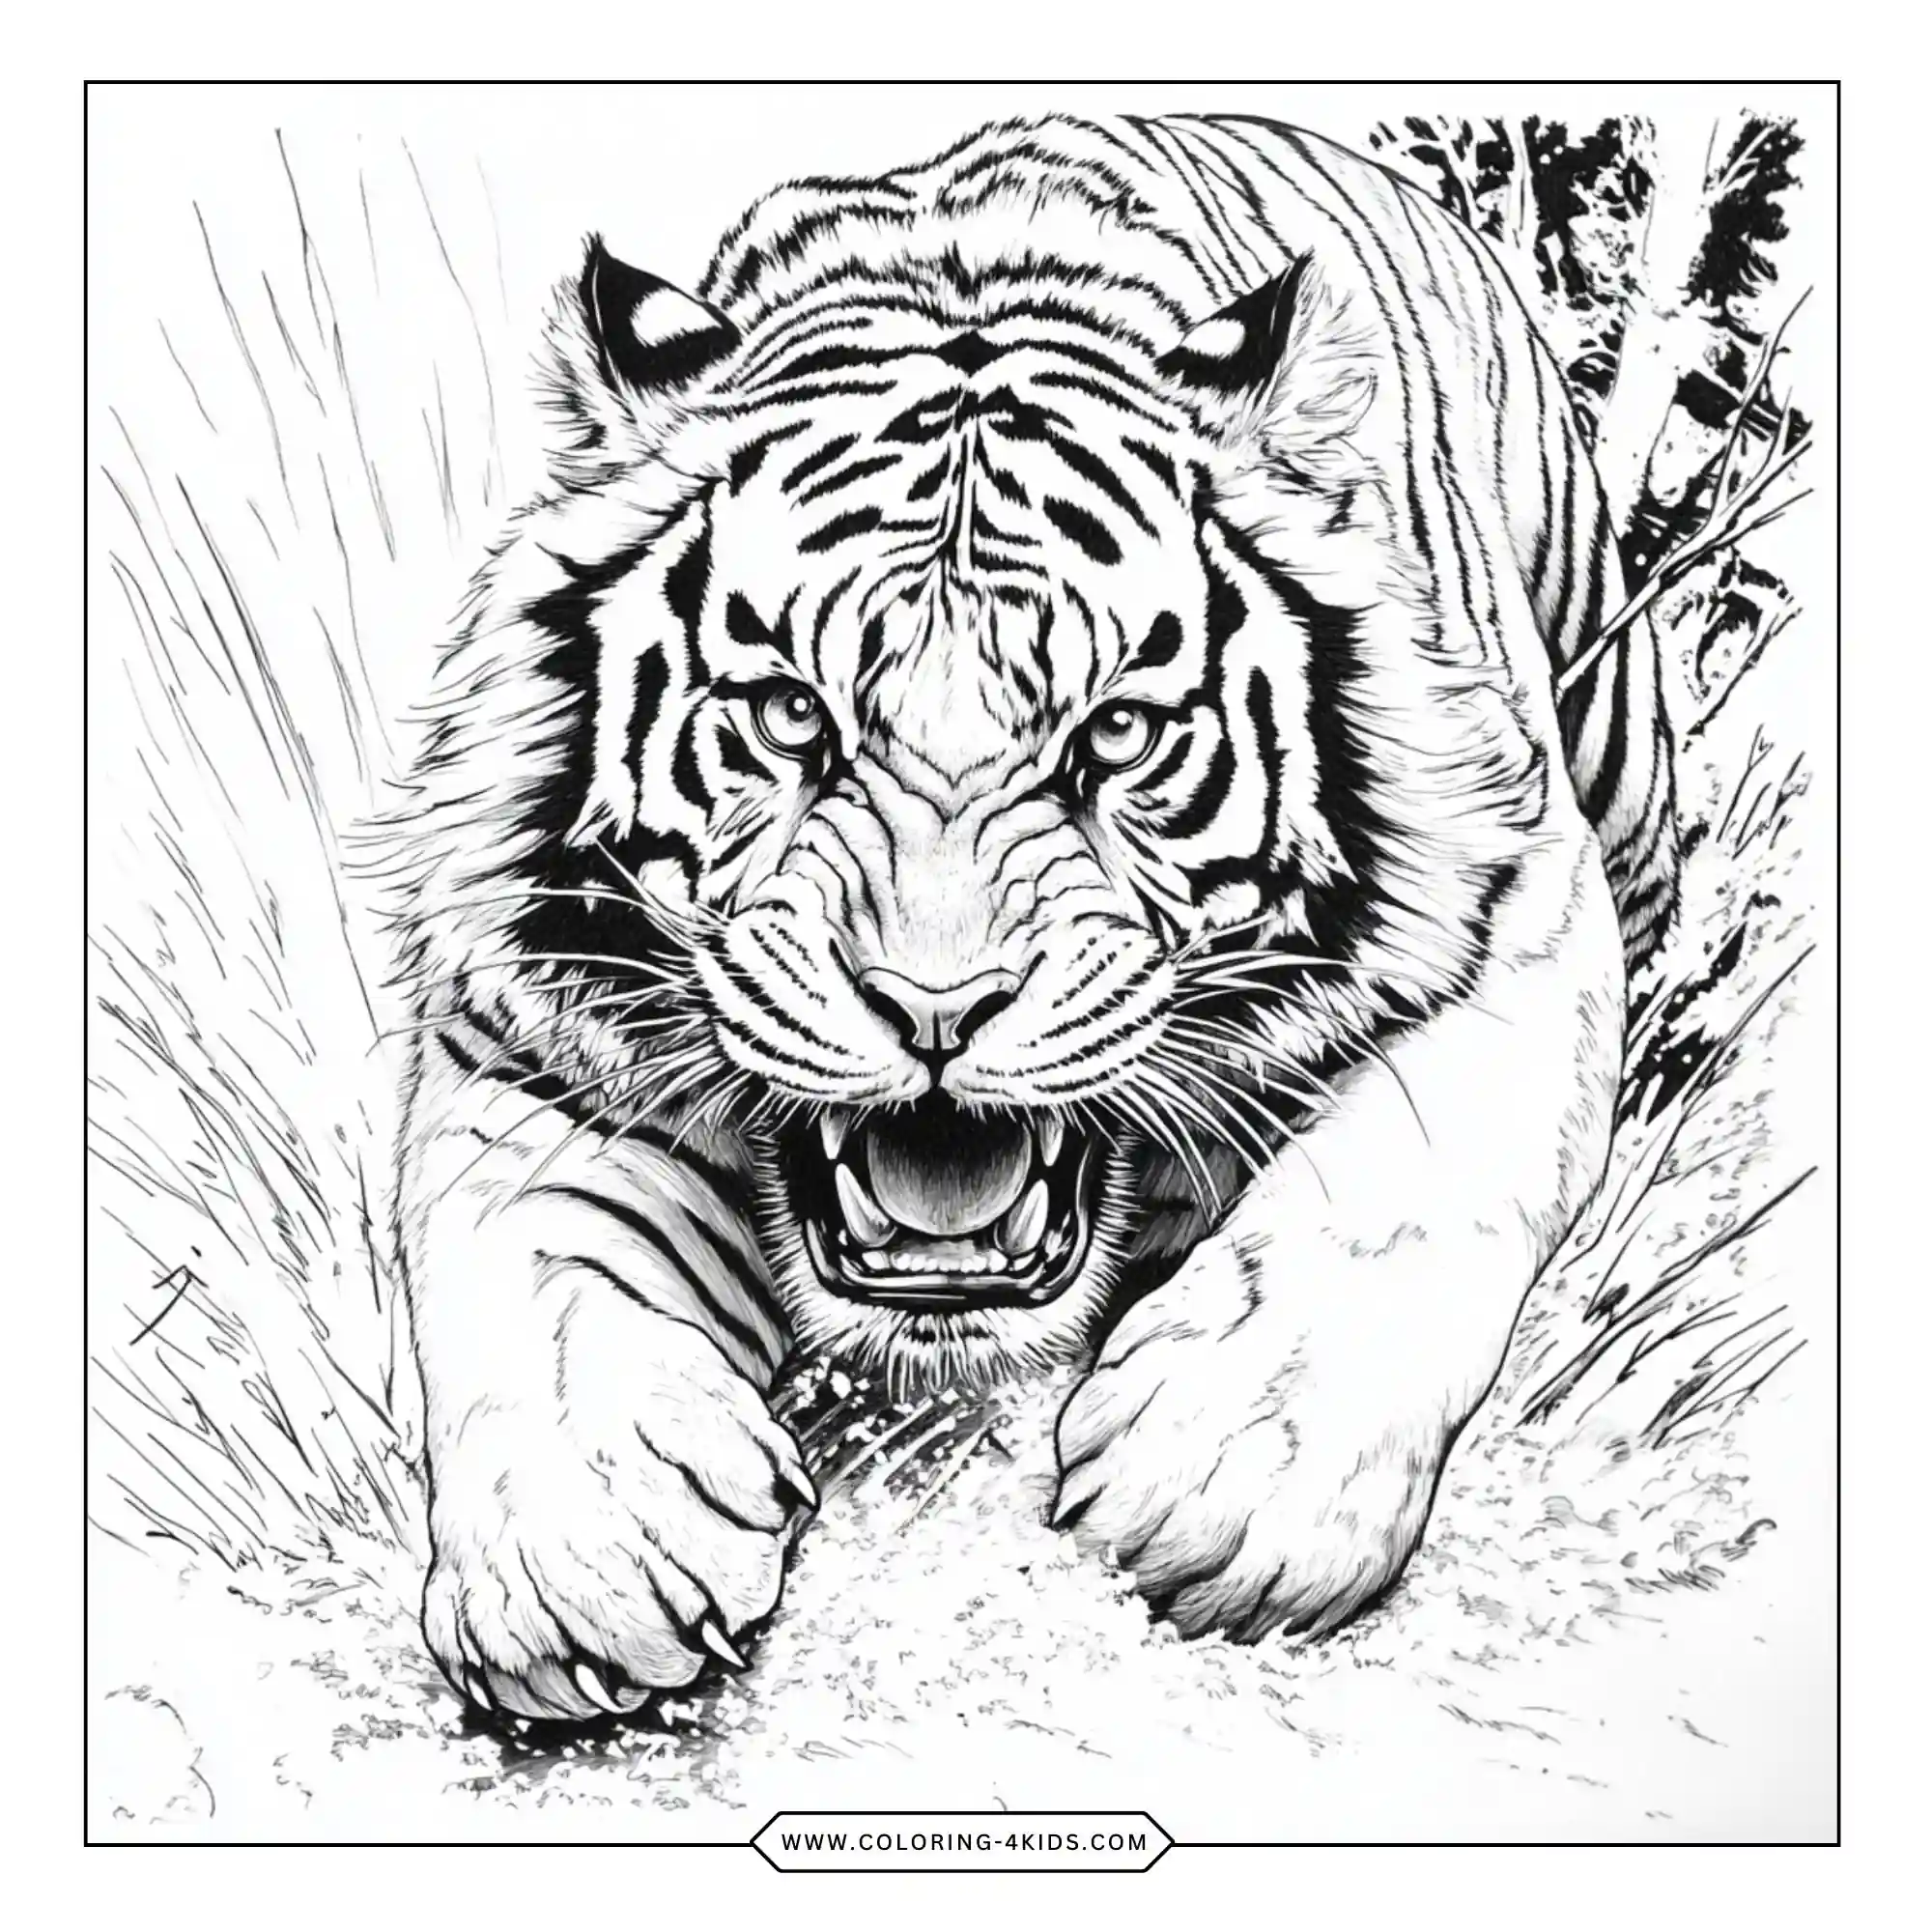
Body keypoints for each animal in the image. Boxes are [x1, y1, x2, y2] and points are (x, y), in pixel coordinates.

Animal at [388, 112, 1677, 1722]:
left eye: (1115, 733)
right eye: (789, 715)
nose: (935, 1012)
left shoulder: (1523, 901)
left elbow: (1406, 1183)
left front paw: (1227, 1479)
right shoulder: (513, 1022)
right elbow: (526, 1244)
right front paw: (587, 1555)